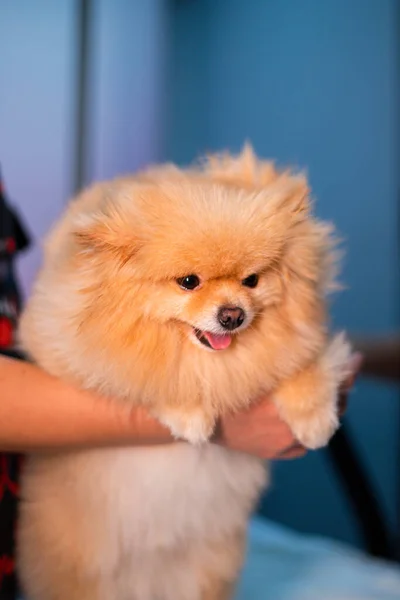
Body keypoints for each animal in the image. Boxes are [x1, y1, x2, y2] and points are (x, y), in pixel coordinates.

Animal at [18, 146, 350, 600]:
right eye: (189, 282)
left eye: (251, 280)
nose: (233, 315)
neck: (206, 359)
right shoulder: (61, 351)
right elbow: (148, 376)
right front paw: (190, 413)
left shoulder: (300, 343)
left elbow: (303, 365)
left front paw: (314, 421)